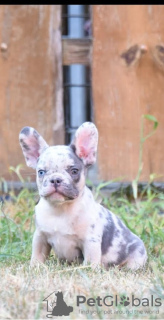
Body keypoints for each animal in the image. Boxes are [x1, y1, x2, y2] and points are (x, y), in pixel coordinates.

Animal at [19, 122, 147, 270]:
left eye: (74, 171)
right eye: (41, 172)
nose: (56, 179)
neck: (60, 209)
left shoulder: (90, 240)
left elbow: (90, 260)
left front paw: (88, 270)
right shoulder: (40, 237)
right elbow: (37, 255)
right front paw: (35, 267)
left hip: (137, 255)